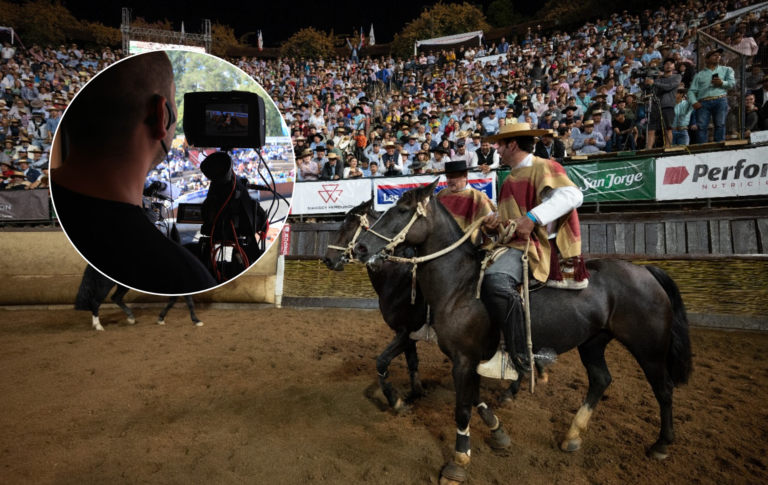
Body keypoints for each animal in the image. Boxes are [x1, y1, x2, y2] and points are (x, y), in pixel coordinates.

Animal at [322, 199, 432, 410]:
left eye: (349, 225)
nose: (328, 259)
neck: (401, 276)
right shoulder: (407, 334)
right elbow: (412, 362)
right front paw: (415, 394)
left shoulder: (407, 331)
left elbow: (381, 361)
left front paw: (394, 399)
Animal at [356, 180, 692, 482]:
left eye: (401, 210)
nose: (361, 247)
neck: (460, 286)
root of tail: (646, 270)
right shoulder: (467, 359)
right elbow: (475, 398)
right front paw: (498, 433)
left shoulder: (463, 359)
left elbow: (462, 408)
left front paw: (458, 462)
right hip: (593, 343)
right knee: (600, 380)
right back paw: (572, 435)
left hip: (649, 349)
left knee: (663, 390)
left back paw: (661, 445)